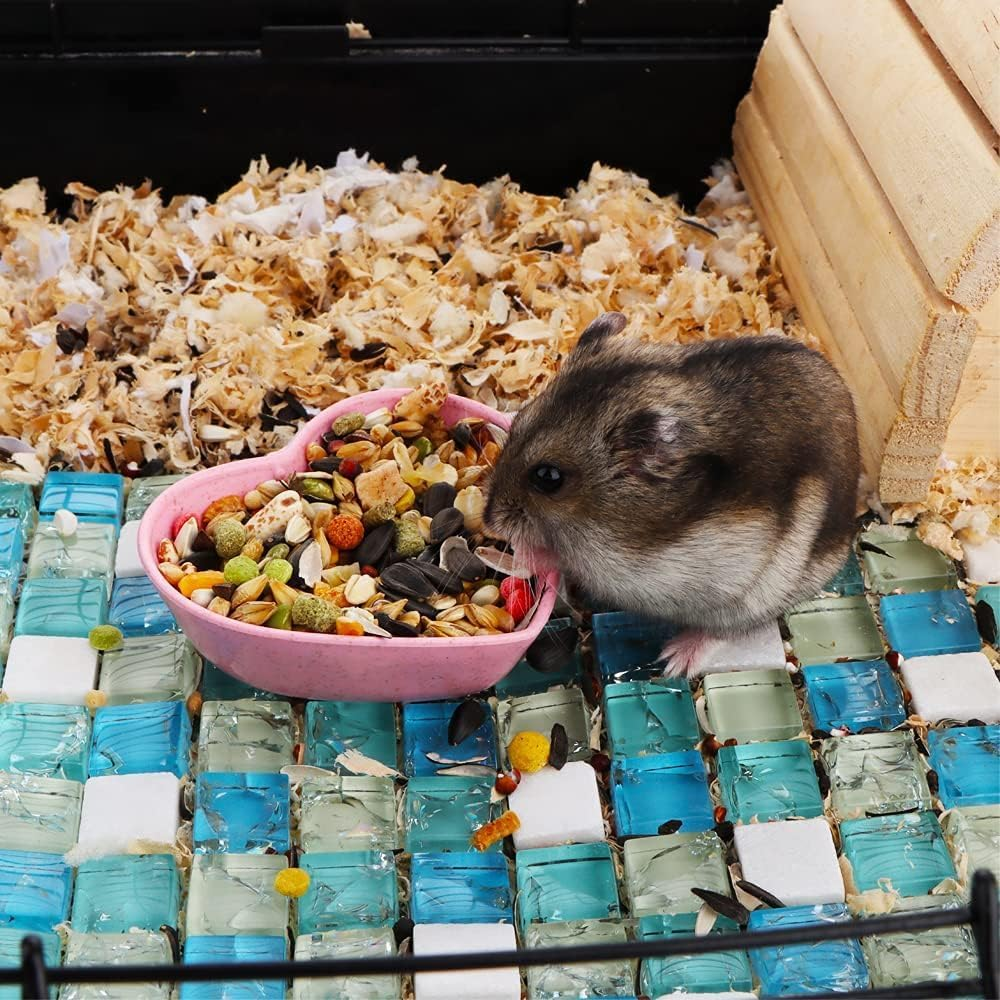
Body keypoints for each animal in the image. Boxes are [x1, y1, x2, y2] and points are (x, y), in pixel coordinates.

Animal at [484, 312, 860, 677]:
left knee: (730, 629)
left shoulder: (624, 570)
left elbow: (565, 559)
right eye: (519, 419)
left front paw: (520, 551)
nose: (488, 521)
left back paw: (675, 659)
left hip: (756, 597)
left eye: (548, 478)